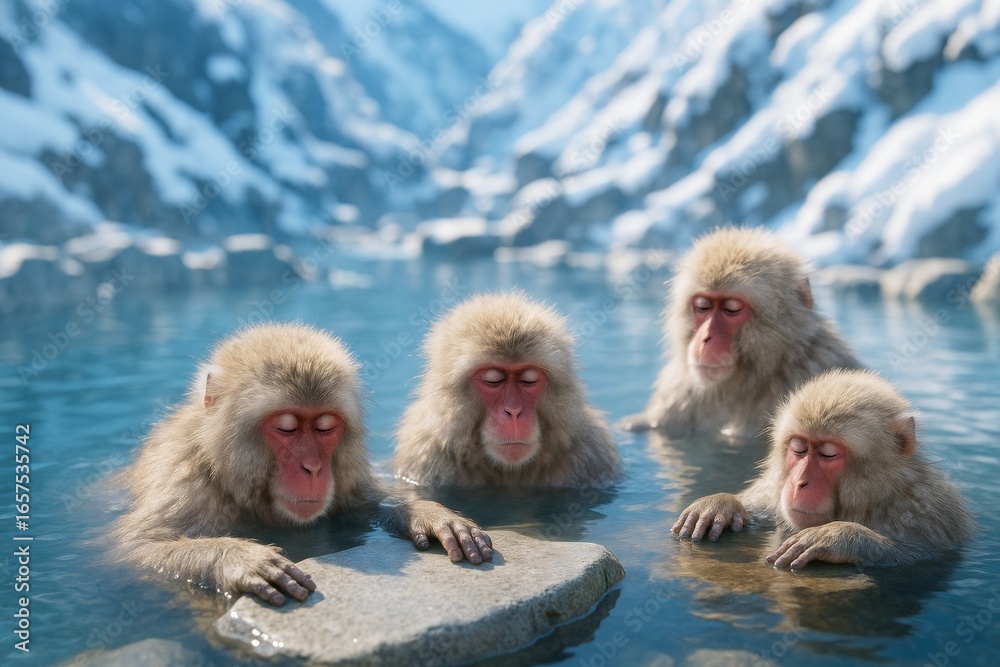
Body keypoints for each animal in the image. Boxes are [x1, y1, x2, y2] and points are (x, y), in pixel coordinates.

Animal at [113, 323, 492, 606]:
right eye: (287, 428)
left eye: (325, 427)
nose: (313, 468)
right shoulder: (181, 475)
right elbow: (139, 549)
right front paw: (238, 558)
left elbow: (364, 505)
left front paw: (424, 513)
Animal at [672, 369, 977, 567]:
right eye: (799, 448)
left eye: (828, 454)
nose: (799, 483)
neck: (876, 497)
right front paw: (722, 503)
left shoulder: (926, 512)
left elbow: (916, 554)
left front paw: (841, 536)